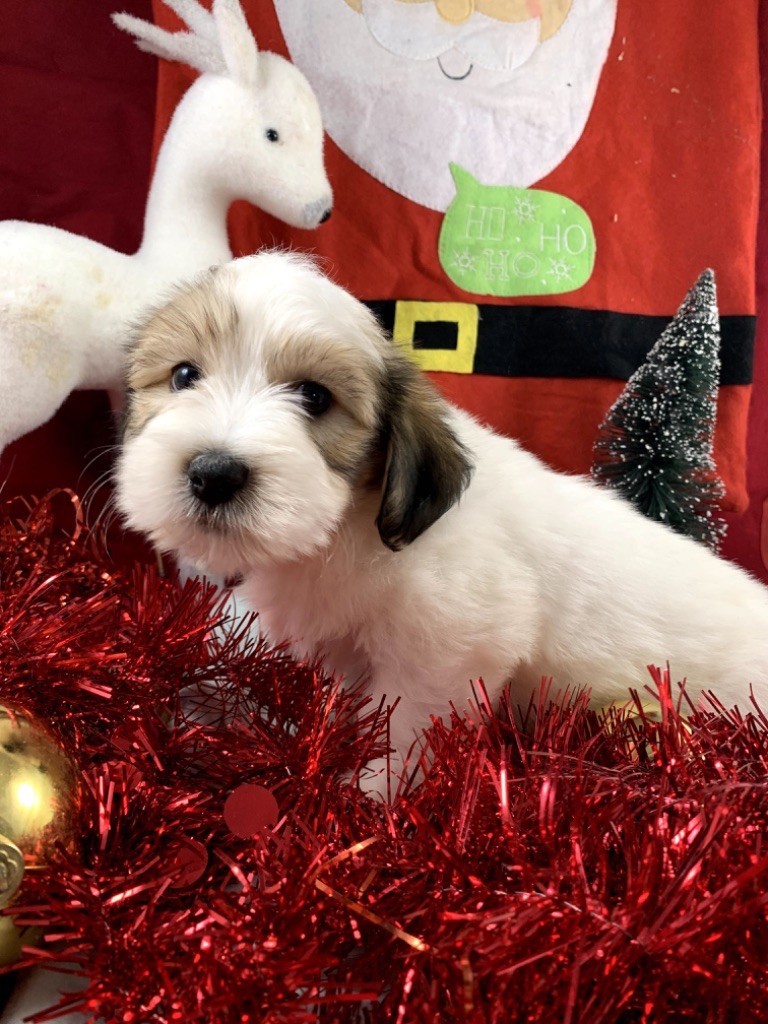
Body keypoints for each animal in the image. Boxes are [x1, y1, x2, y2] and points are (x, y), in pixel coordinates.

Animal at [115, 251, 768, 778]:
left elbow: (400, 734)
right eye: (183, 375)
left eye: (314, 397)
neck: (353, 528)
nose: (214, 473)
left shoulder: (454, 646)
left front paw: (367, 807)